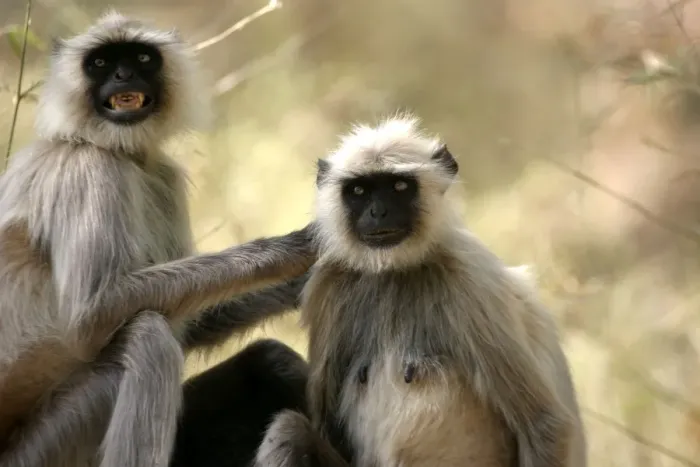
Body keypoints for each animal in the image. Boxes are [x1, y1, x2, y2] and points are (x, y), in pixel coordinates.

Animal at [0, 12, 315, 467]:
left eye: (142, 58)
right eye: (101, 63)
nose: (123, 75)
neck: (113, 148)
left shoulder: (162, 175)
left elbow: (191, 320)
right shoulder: (86, 169)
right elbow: (93, 315)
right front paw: (294, 249)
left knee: (268, 361)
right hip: (42, 451)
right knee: (149, 339)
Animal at [254, 115, 588, 467]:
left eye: (399, 187)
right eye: (359, 191)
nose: (378, 212)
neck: (395, 271)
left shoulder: (473, 280)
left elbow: (544, 424)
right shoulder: (328, 285)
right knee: (288, 430)